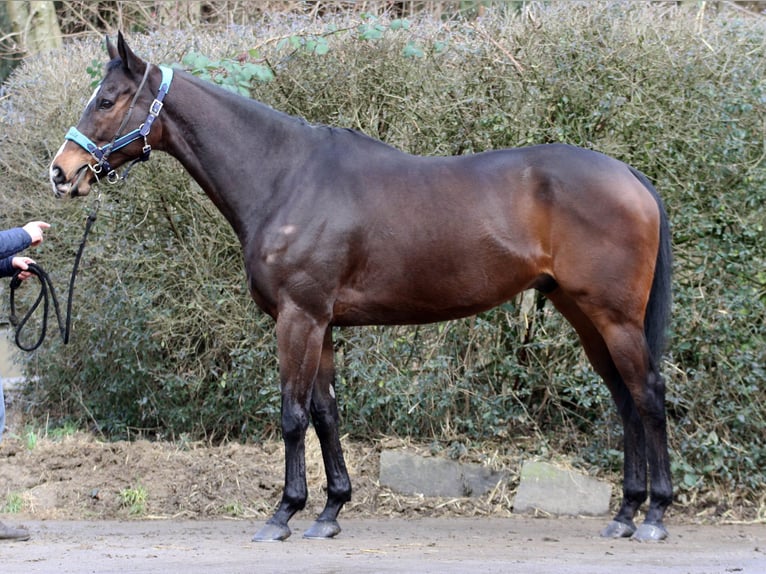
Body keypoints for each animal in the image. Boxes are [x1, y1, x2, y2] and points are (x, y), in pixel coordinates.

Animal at [49, 33, 672, 543]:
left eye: (107, 100)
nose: (62, 171)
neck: (285, 178)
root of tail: (630, 176)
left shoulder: (297, 318)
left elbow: (292, 414)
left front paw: (283, 514)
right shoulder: (321, 323)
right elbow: (326, 413)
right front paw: (329, 512)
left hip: (614, 317)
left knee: (646, 396)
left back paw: (655, 516)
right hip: (583, 315)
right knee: (623, 401)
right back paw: (624, 514)